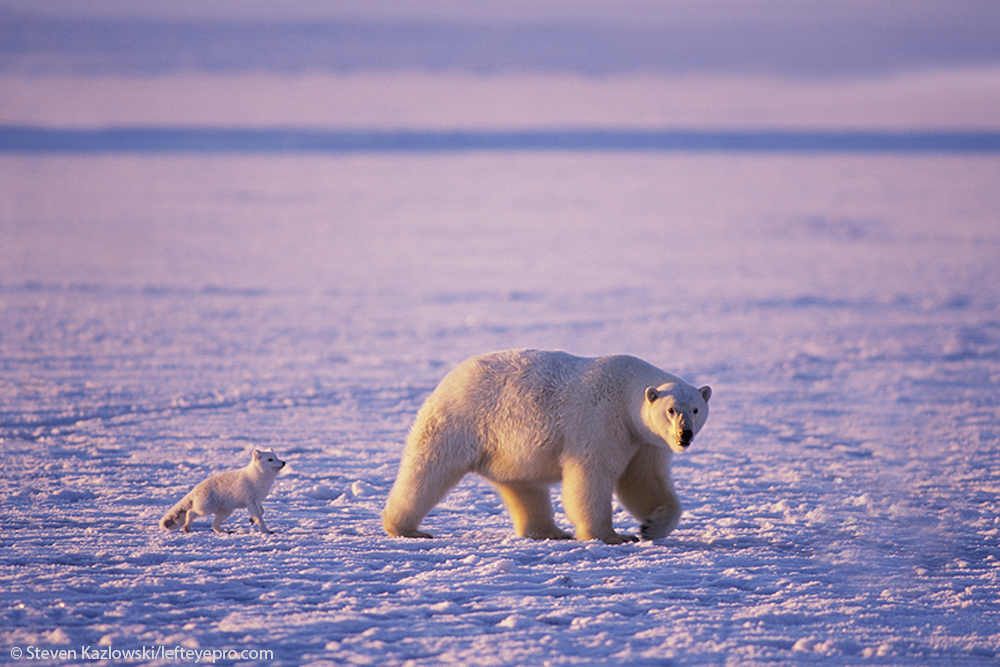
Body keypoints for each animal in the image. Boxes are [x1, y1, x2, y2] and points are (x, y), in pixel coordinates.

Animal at [158, 448, 286, 536]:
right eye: (270, 460)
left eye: (276, 457)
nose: (284, 462)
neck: (258, 477)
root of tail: (196, 488)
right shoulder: (251, 502)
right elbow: (260, 517)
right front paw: (266, 530)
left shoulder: (257, 501)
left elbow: (262, 512)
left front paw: (252, 519)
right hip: (206, 508)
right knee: (191, 512)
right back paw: (187, 527)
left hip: (226, 512)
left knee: (214, 524)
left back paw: (224, 532)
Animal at [382, 350, 712, 544]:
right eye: (671, 410)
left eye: (696, 409)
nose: (684, 434)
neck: (626, 389)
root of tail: (449, 378)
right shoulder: (601, 421)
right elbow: (591, 476)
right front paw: (611, 536)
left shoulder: (645, 440)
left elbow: (643, 481)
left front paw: (651, 526)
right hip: (462, 421)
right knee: (429, 470)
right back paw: (406, 528)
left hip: (508, 450)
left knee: (523, 487)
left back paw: (550, 532)